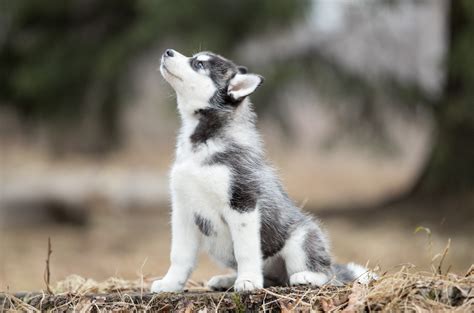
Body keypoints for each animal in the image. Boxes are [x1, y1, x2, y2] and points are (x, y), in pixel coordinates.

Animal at [151, 48, 370, 292]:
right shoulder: (183, 210)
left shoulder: (242, 202)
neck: (202, 143)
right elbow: (179, 255)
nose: (168, 51)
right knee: (270, 278)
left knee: (323, 274)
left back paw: (307, 277)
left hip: (302, 239)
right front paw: (170, 283)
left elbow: (245, 251)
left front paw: (247, 281)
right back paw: (228, 280)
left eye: (199, 64)